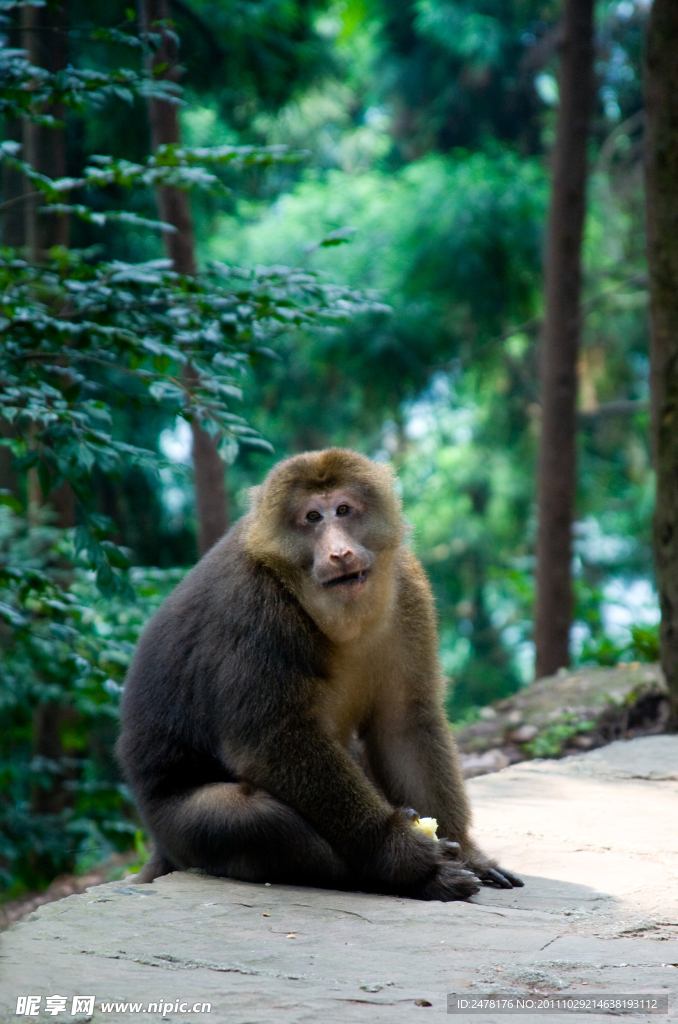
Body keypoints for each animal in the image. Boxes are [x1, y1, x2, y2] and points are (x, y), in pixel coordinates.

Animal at [116, 452, 522, 901]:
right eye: (312, 517)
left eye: (343, 510)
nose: (339, 552)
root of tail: (158, 844)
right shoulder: (253, 607)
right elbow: (272, 740)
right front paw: (401, 851)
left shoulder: (409, 587)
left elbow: (404, 723)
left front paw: (467, 853)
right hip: (176, 832)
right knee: (254, 819)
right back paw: (394, 876)